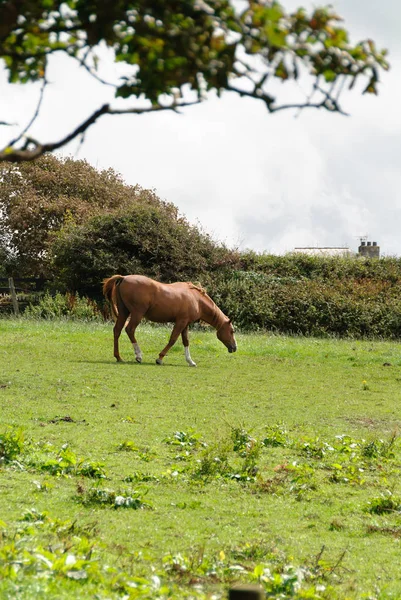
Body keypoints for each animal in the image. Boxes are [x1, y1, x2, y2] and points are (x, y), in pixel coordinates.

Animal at [102, 272, 238, 366]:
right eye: (232, 331)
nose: (234, 347)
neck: (197, 299)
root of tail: (124, 278)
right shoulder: (180, 322)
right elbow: (173, 339)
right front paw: (160, 358)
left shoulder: (185, 324)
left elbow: (186, 341)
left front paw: (190, 361)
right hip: (137, 314)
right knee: (129, 330)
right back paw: (138, 355)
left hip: (124, 313)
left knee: (117, 330)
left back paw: (118, 357)